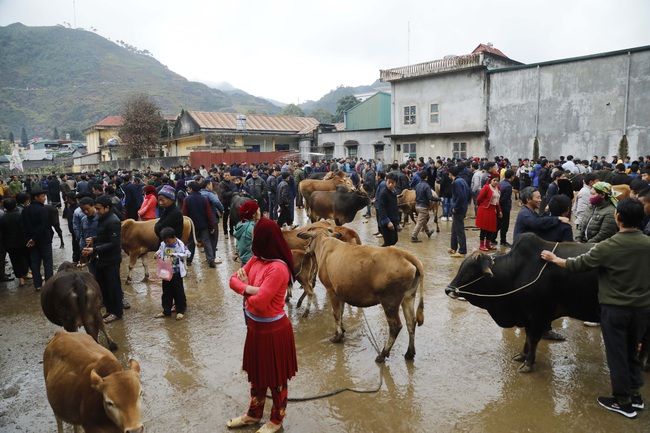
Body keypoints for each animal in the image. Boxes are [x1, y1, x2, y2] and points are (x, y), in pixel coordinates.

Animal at [296, 228, 422, 362]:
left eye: (309, 239)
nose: (305, 249)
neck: (324, 243)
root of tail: (404, 254)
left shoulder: (331, 291)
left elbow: (336, 314)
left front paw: (337, 337)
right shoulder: (340, 293)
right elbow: (341, 312)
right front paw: (341, 331)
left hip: (390, 302)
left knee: (395, 327)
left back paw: (383, 354)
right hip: (408, 297)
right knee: (411, 322)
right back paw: (409, 353)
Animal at [442, 233, 596, 372]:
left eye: (468, 270)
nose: (448, 290)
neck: (517, 271)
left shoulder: (539, 314)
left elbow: (533, 339)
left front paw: (528, 363)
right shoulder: (527, 315)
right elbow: (527, 338)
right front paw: (522, 356)